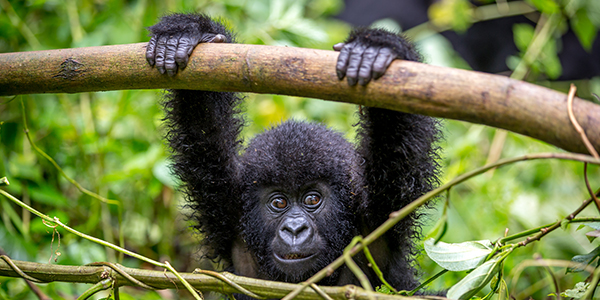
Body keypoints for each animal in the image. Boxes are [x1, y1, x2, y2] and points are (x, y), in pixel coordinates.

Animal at [148, 12, 438, 296]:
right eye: (279, 202)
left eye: (312, 199)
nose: (295, 229)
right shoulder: (225, 206)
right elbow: (203, 126)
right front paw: (186, 34)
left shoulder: (380, 215)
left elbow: (396, 142)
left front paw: (377, 48)